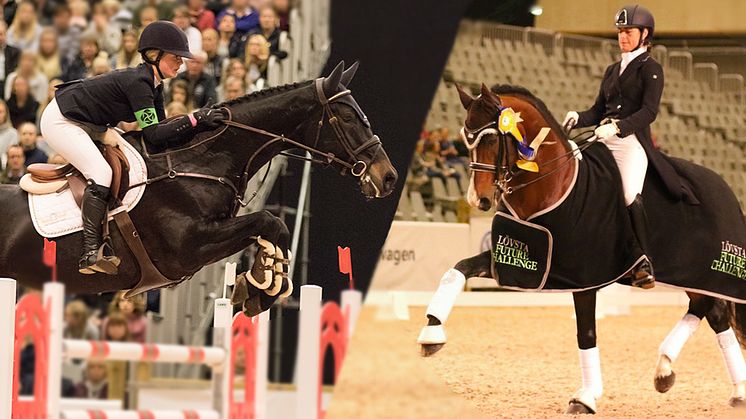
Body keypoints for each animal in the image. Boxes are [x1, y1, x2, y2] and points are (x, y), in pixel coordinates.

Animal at [0, 62, 396, 316]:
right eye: (348, 116)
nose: (388, 177)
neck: (203, 160)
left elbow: (272, 227)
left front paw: (262, 281)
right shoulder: (187, 248)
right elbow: (269, 221)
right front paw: (262, 282)